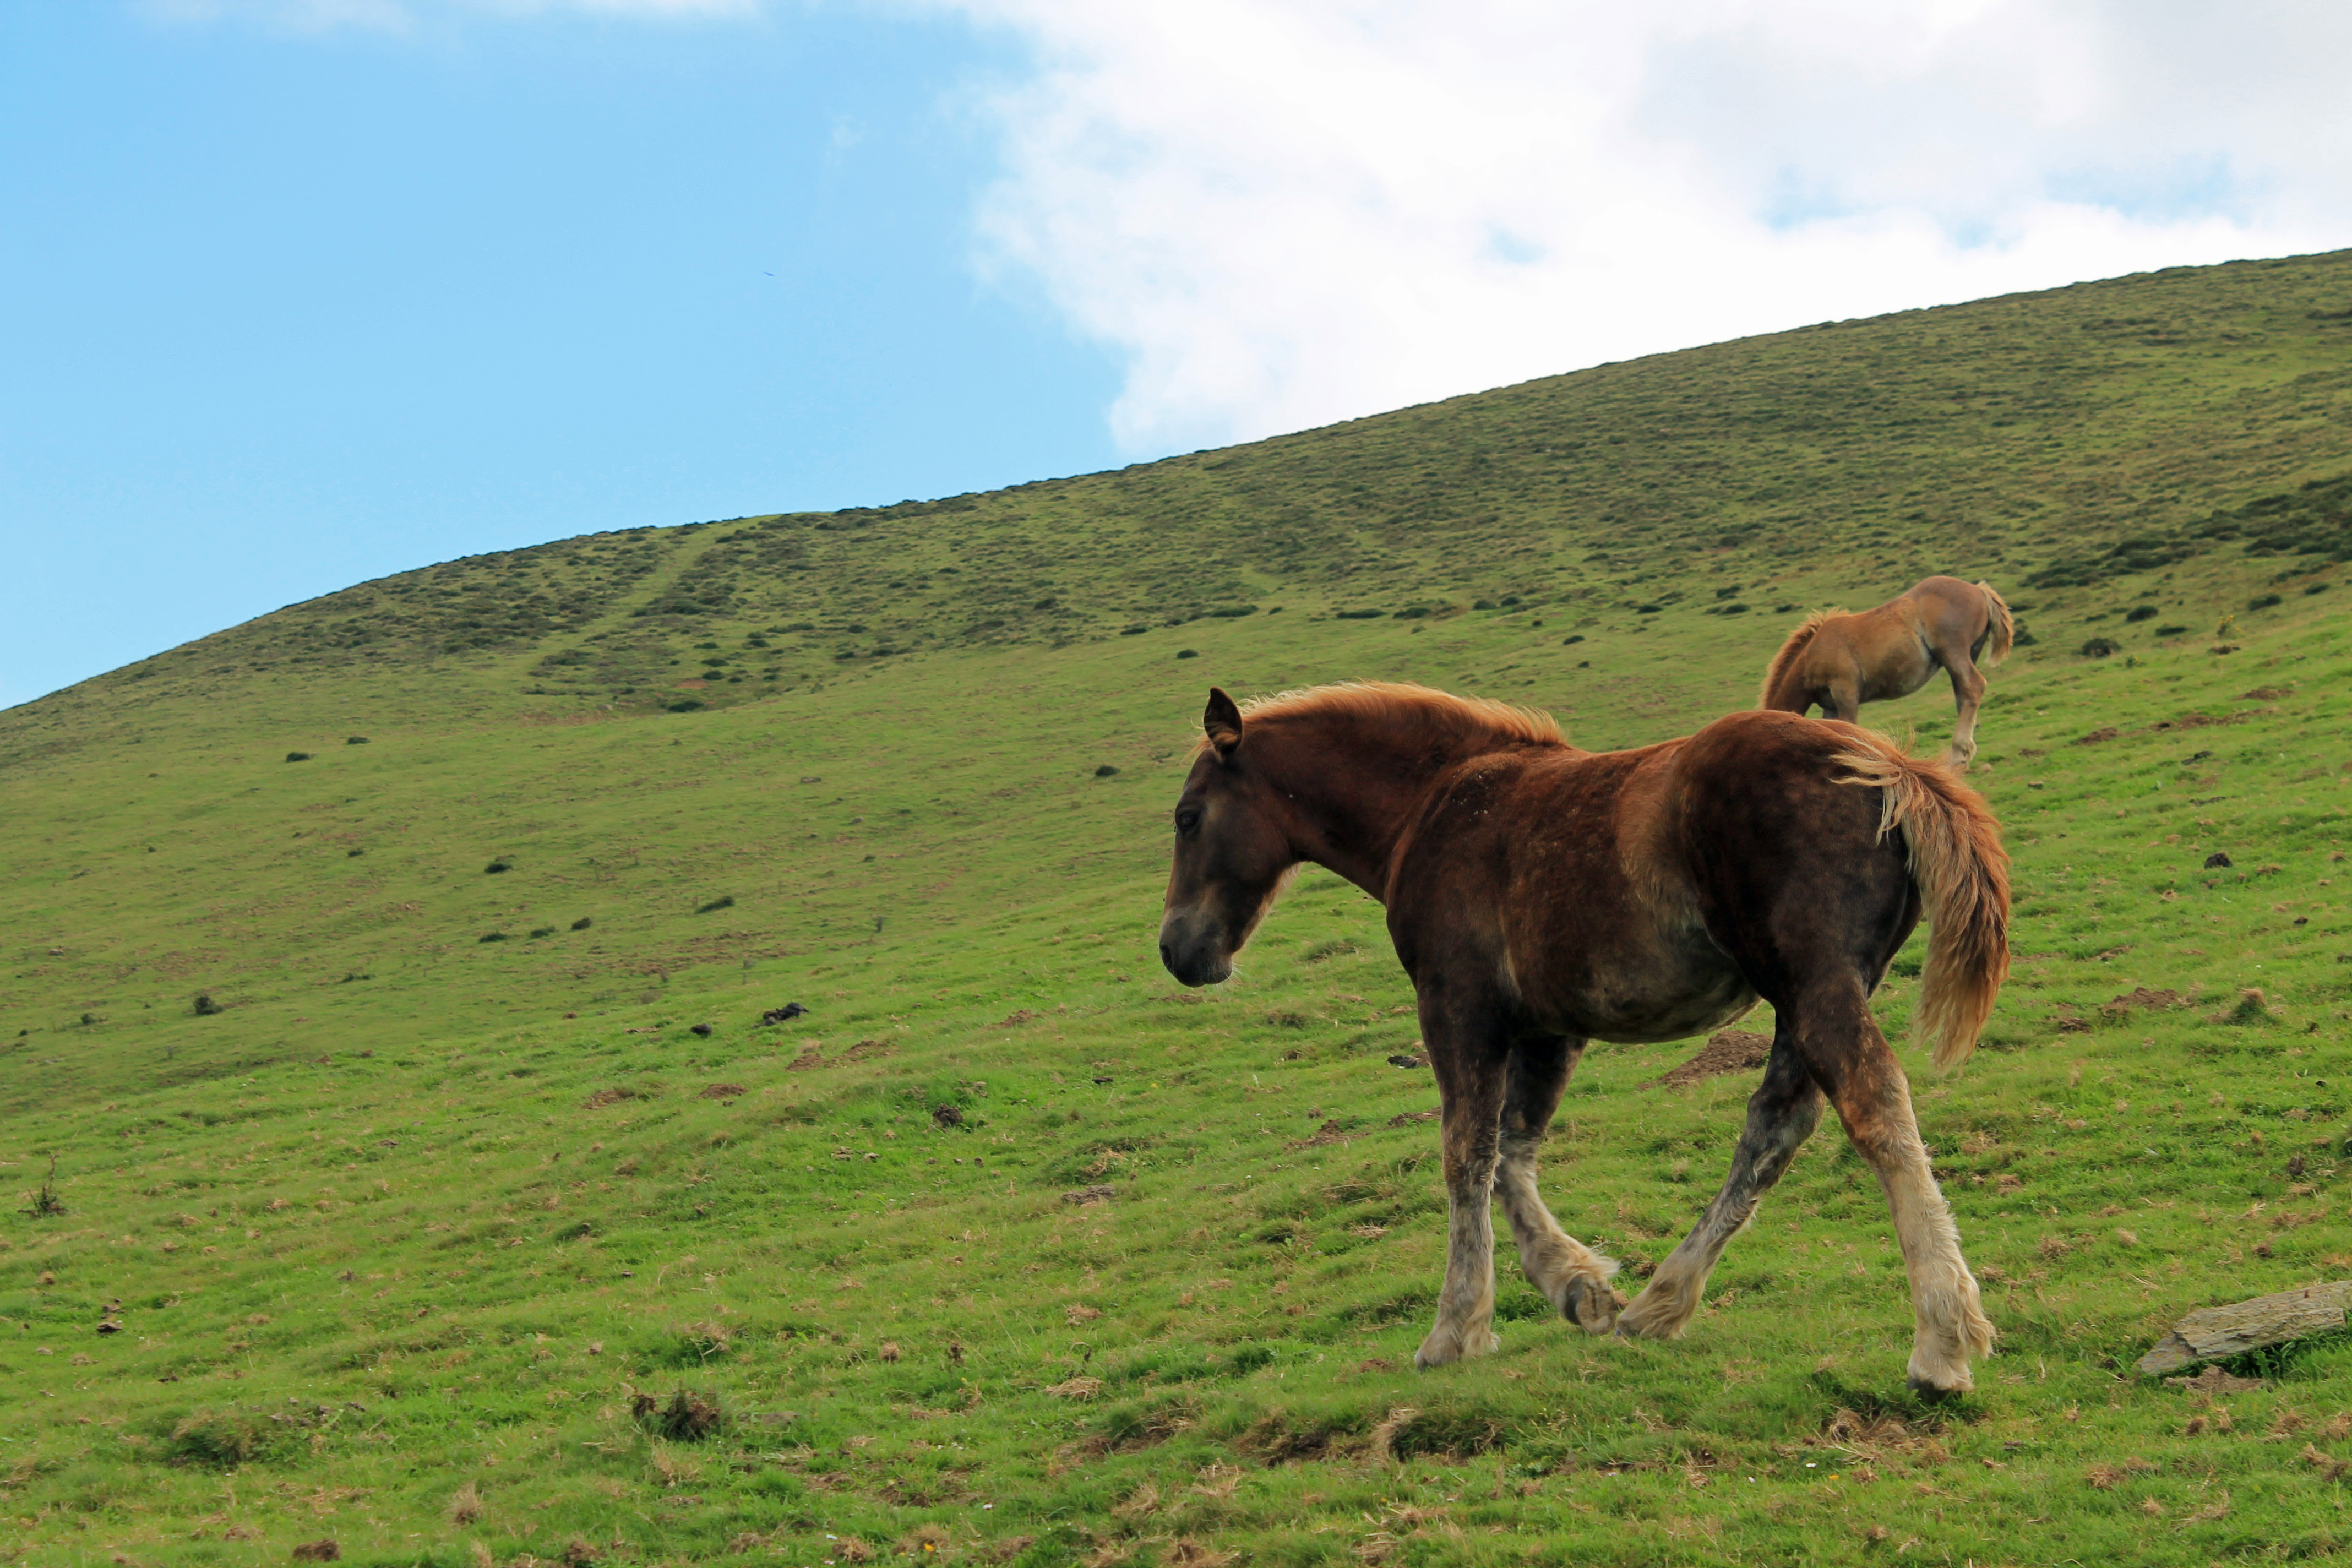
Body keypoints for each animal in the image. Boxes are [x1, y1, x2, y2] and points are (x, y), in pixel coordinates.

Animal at [1157, 686, 2003, 1401]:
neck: (1432, 805)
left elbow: (1466, 1155)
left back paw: (1941, 1345)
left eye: (1188, 817)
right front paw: (1580, 1289)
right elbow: (1511, 1152)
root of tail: (1887, 766)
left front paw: (1455, 1331)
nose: (1177, 951)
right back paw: (1660, 1305)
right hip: (1815, 991)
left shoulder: (1458, 1009)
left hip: (1811, 980)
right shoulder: (1548, 1029)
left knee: (1872, 1106)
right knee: (1777, 1125)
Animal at [1759, 580, 2013, 771]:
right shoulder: (1829, 704)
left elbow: (1850, 728)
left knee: (1974, 686)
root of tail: (1979, 589)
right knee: (1964, 696)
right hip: (1968, 654)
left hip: (1953, 653)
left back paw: (1957, 755)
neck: (1812, 653)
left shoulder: (1845, 692)